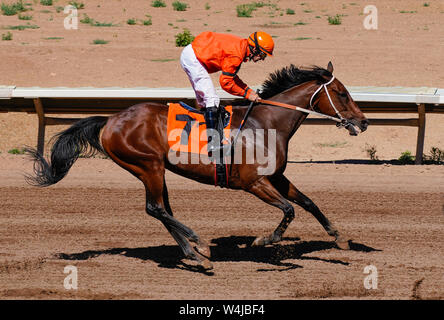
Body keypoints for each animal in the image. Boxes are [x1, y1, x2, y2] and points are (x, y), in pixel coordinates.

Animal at [26, 62, 370, 270]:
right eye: (341, 93)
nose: (363, 122)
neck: (268, 123)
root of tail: (110, 120)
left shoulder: (276, 176)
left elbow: (309, 203)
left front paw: (340, 238)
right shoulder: (254, 183)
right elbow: (289, 210)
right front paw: (264, 241)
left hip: (152, 169)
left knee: (161, 209)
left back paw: (195, 253)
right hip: (148, 165)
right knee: (156, 208)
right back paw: (200, 244)